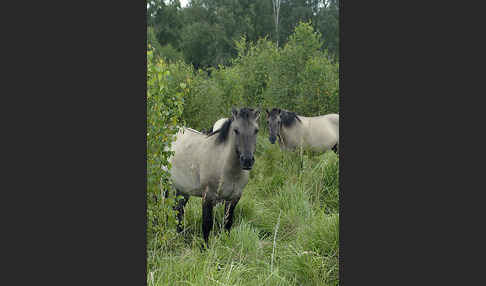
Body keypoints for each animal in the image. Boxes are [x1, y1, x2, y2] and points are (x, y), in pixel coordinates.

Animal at [165, 107, 260, 246]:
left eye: (256, 130)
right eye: (236, 130)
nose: (247, 161)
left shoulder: (234, 198)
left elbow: (227, 223)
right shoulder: (208, 196)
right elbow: (207, 224)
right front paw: (204, 247)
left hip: (182, 190)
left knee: (179, 210)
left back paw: (181, 236)